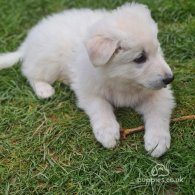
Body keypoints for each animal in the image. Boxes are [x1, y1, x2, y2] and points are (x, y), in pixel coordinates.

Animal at [0, 3, 175, 157]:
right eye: (140, 58)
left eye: (157, 49)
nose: (170, 79)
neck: (122, 80)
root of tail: (28, 41)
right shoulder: (89, 91)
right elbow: (101, 107)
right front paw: (108, 132)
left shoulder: (160, 95)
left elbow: (158, 113)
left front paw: (157, 141)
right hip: (48, 63)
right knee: (29, 72)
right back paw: (44, 90)